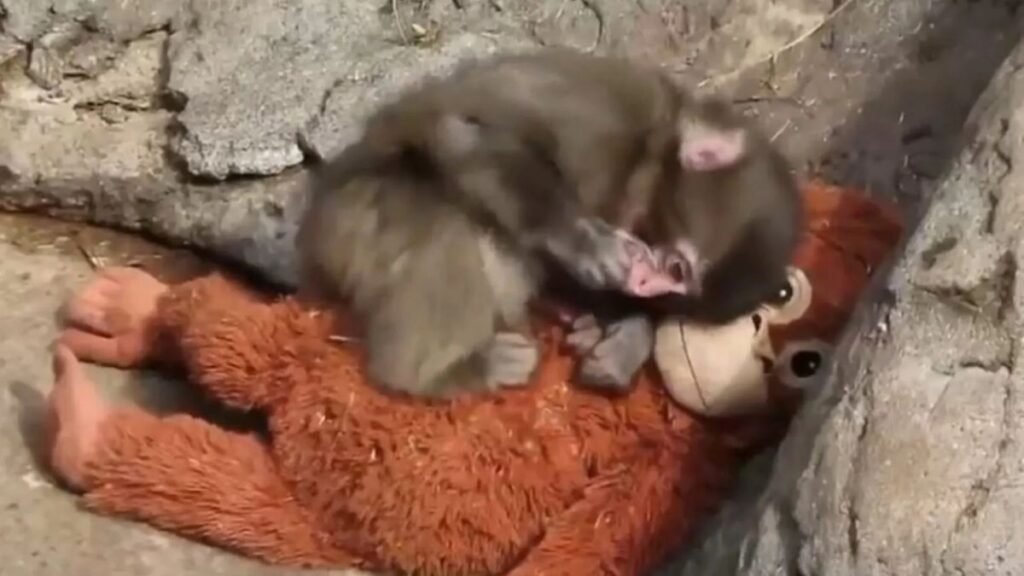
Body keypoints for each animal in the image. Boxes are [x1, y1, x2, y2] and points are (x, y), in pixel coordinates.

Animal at [299, 47, 803, 397]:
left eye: (678, 292)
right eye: (677, 268)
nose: (645, 286)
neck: (649, 151)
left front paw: (623, 338)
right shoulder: (600, 117)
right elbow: (462, 128)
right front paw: (584, 242)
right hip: (354, 217)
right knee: (443, 227)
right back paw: (435, 372)